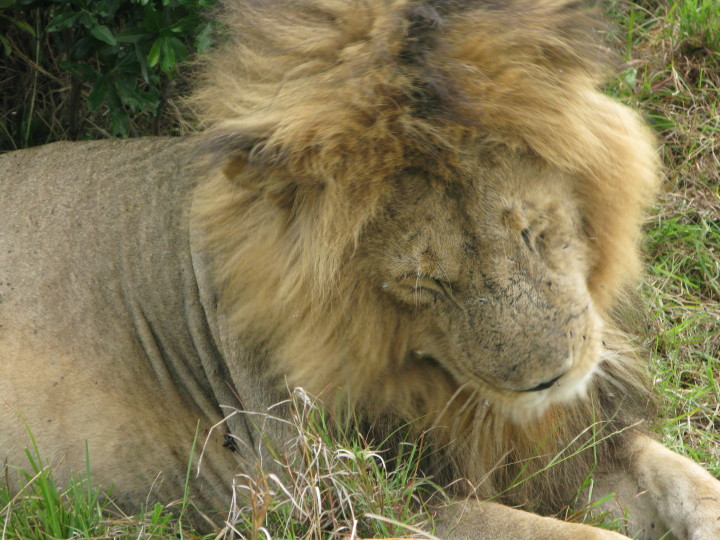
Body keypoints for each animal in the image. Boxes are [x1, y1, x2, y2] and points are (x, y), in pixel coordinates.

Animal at [1, 0, 719, 538]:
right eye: (423, 284)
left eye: (533, 231)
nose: (549, 380)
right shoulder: (358, 500)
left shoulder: (576, 441)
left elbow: (687, 478)